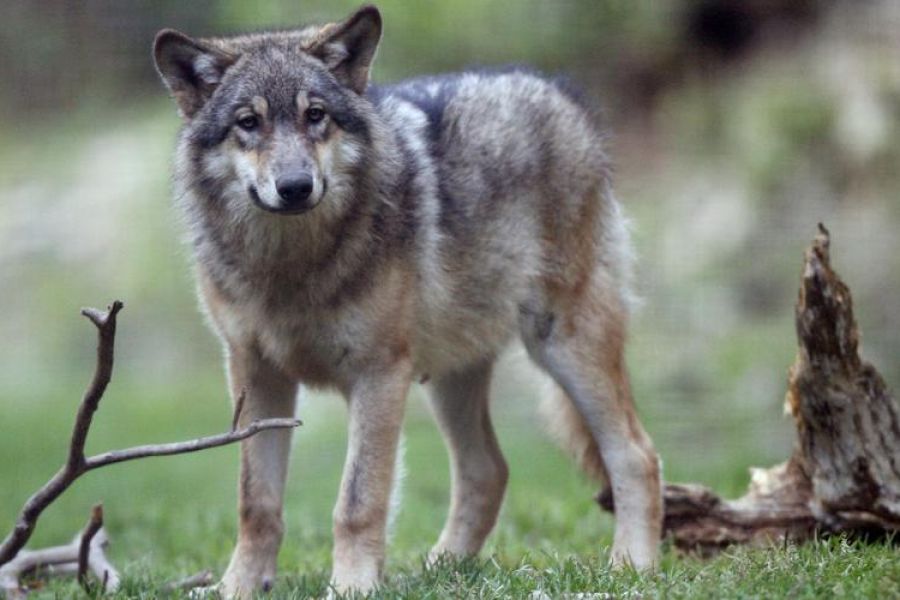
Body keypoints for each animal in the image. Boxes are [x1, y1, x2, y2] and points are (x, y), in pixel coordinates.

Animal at [153, 4, 662, 597]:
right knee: (489, 470)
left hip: (563, 347)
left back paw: (632, 566)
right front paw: (238, 587)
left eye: (316, 115)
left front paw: (352, 586)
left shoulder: (379, 374)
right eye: (248, 123)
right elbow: (255, 502)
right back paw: (440, 568)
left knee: (635, 455)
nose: (296, 186)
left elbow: (357, 501)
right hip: (450, 377)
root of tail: (558, 89)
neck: (291, 267)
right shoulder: (255, 376)